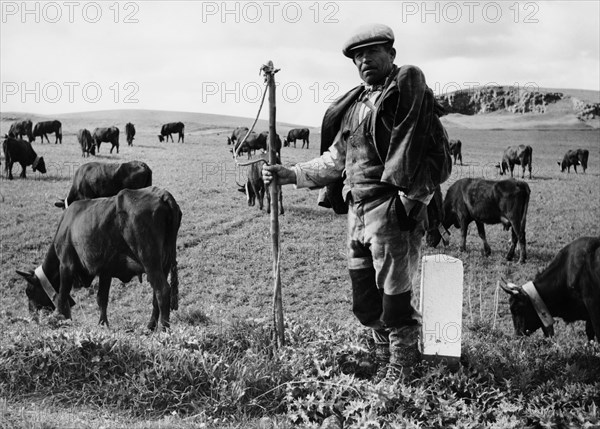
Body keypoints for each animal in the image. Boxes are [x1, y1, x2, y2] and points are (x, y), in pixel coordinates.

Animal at [17, 186, 182, 330]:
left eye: (29, 292)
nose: (32, 316)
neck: (66, 225)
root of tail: (162, 194)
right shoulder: (105, 271)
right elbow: (102, 299)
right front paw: (103, 324)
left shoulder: (66, 264)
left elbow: (62, 297)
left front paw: (62, 320)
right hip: (164, 263)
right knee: (156, 295)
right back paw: (150, 326)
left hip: (149, 261)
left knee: (162, 291)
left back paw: (164, 329)